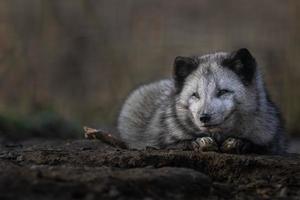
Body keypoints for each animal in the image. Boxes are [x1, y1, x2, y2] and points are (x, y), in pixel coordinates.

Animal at [117, 48, 286, 155]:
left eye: (222, 92)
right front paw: (198, 142)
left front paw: (239, 142)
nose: (204, 117)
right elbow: (180, 143)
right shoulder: (159, 143)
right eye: (195, 95)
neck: (218, 137)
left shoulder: (272, 143)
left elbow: (256, 145)